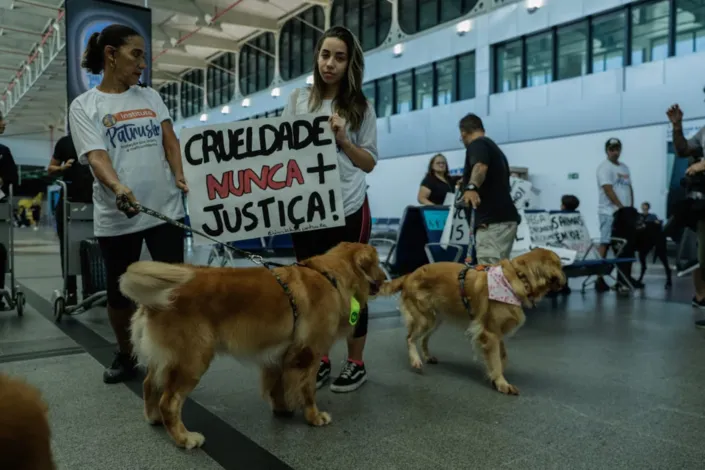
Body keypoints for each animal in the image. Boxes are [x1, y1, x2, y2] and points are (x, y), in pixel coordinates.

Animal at [119, 242, 384, 448]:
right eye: (377, 262)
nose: (386, 278)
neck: (330, 276)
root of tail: (154, 300)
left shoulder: (278, 354)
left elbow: (277, 387)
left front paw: (282, 409)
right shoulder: (309, 353)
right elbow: (307, 390)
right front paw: (314, 417)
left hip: (165, 361)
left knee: (148, 385)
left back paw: (153, 418)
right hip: (192, 360)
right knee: (169, 402)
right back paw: (184, 438)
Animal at [376, 248, 564, 394]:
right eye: (560, 265)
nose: (564, 280)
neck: (516, 278)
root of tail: (410, 274)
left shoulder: (496, 333)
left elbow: (502, 356)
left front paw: (496, 376)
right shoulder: (490, 333)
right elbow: (496, 360)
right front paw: (501, 382)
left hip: (435, 319)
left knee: (422, 339)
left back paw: (428, 356)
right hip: (424, 318)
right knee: (410, 338)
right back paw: (415, 360)